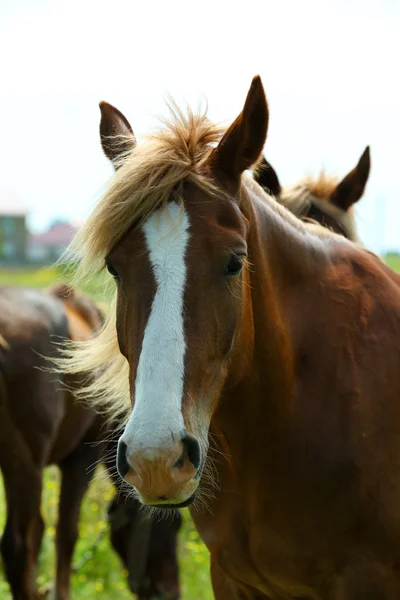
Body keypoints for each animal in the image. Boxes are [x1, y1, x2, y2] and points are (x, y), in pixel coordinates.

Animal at [0, 284, 181, 600]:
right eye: (174, 525)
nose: (171, 592)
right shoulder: (82, 457)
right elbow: (65, 534)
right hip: (24, 466)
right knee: (17, 546)